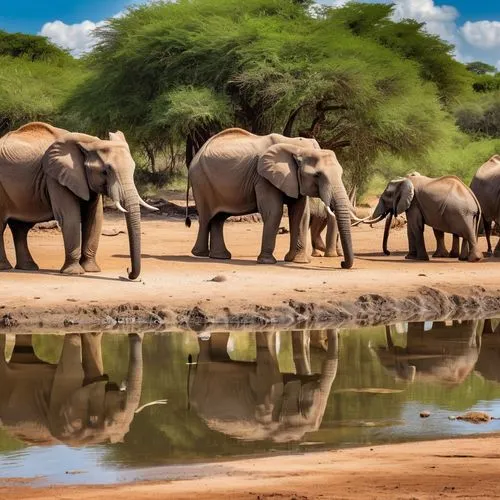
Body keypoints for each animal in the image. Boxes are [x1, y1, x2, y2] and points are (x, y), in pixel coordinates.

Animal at [0, 121, 157, 278]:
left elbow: (94, 218)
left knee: (21, 228)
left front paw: (91, 270)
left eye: (133, 168)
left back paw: (28, 267)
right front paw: (73, 272)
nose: (127, 272)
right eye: (105, 171)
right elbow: (69, 217)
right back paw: (5, 268)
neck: (90, 142)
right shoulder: (55, 177)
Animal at [186, 130, 354, 270]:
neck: (295, 146)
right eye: (317, 175)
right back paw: (200, 254)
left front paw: (297, 261)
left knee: (219, 218)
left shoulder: (294, 179)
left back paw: (220, 257)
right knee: (206, 217)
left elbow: (300, 214)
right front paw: (267, 261)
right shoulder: (263, 177)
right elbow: (274, 211)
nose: (342, 263)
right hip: (201, 181)